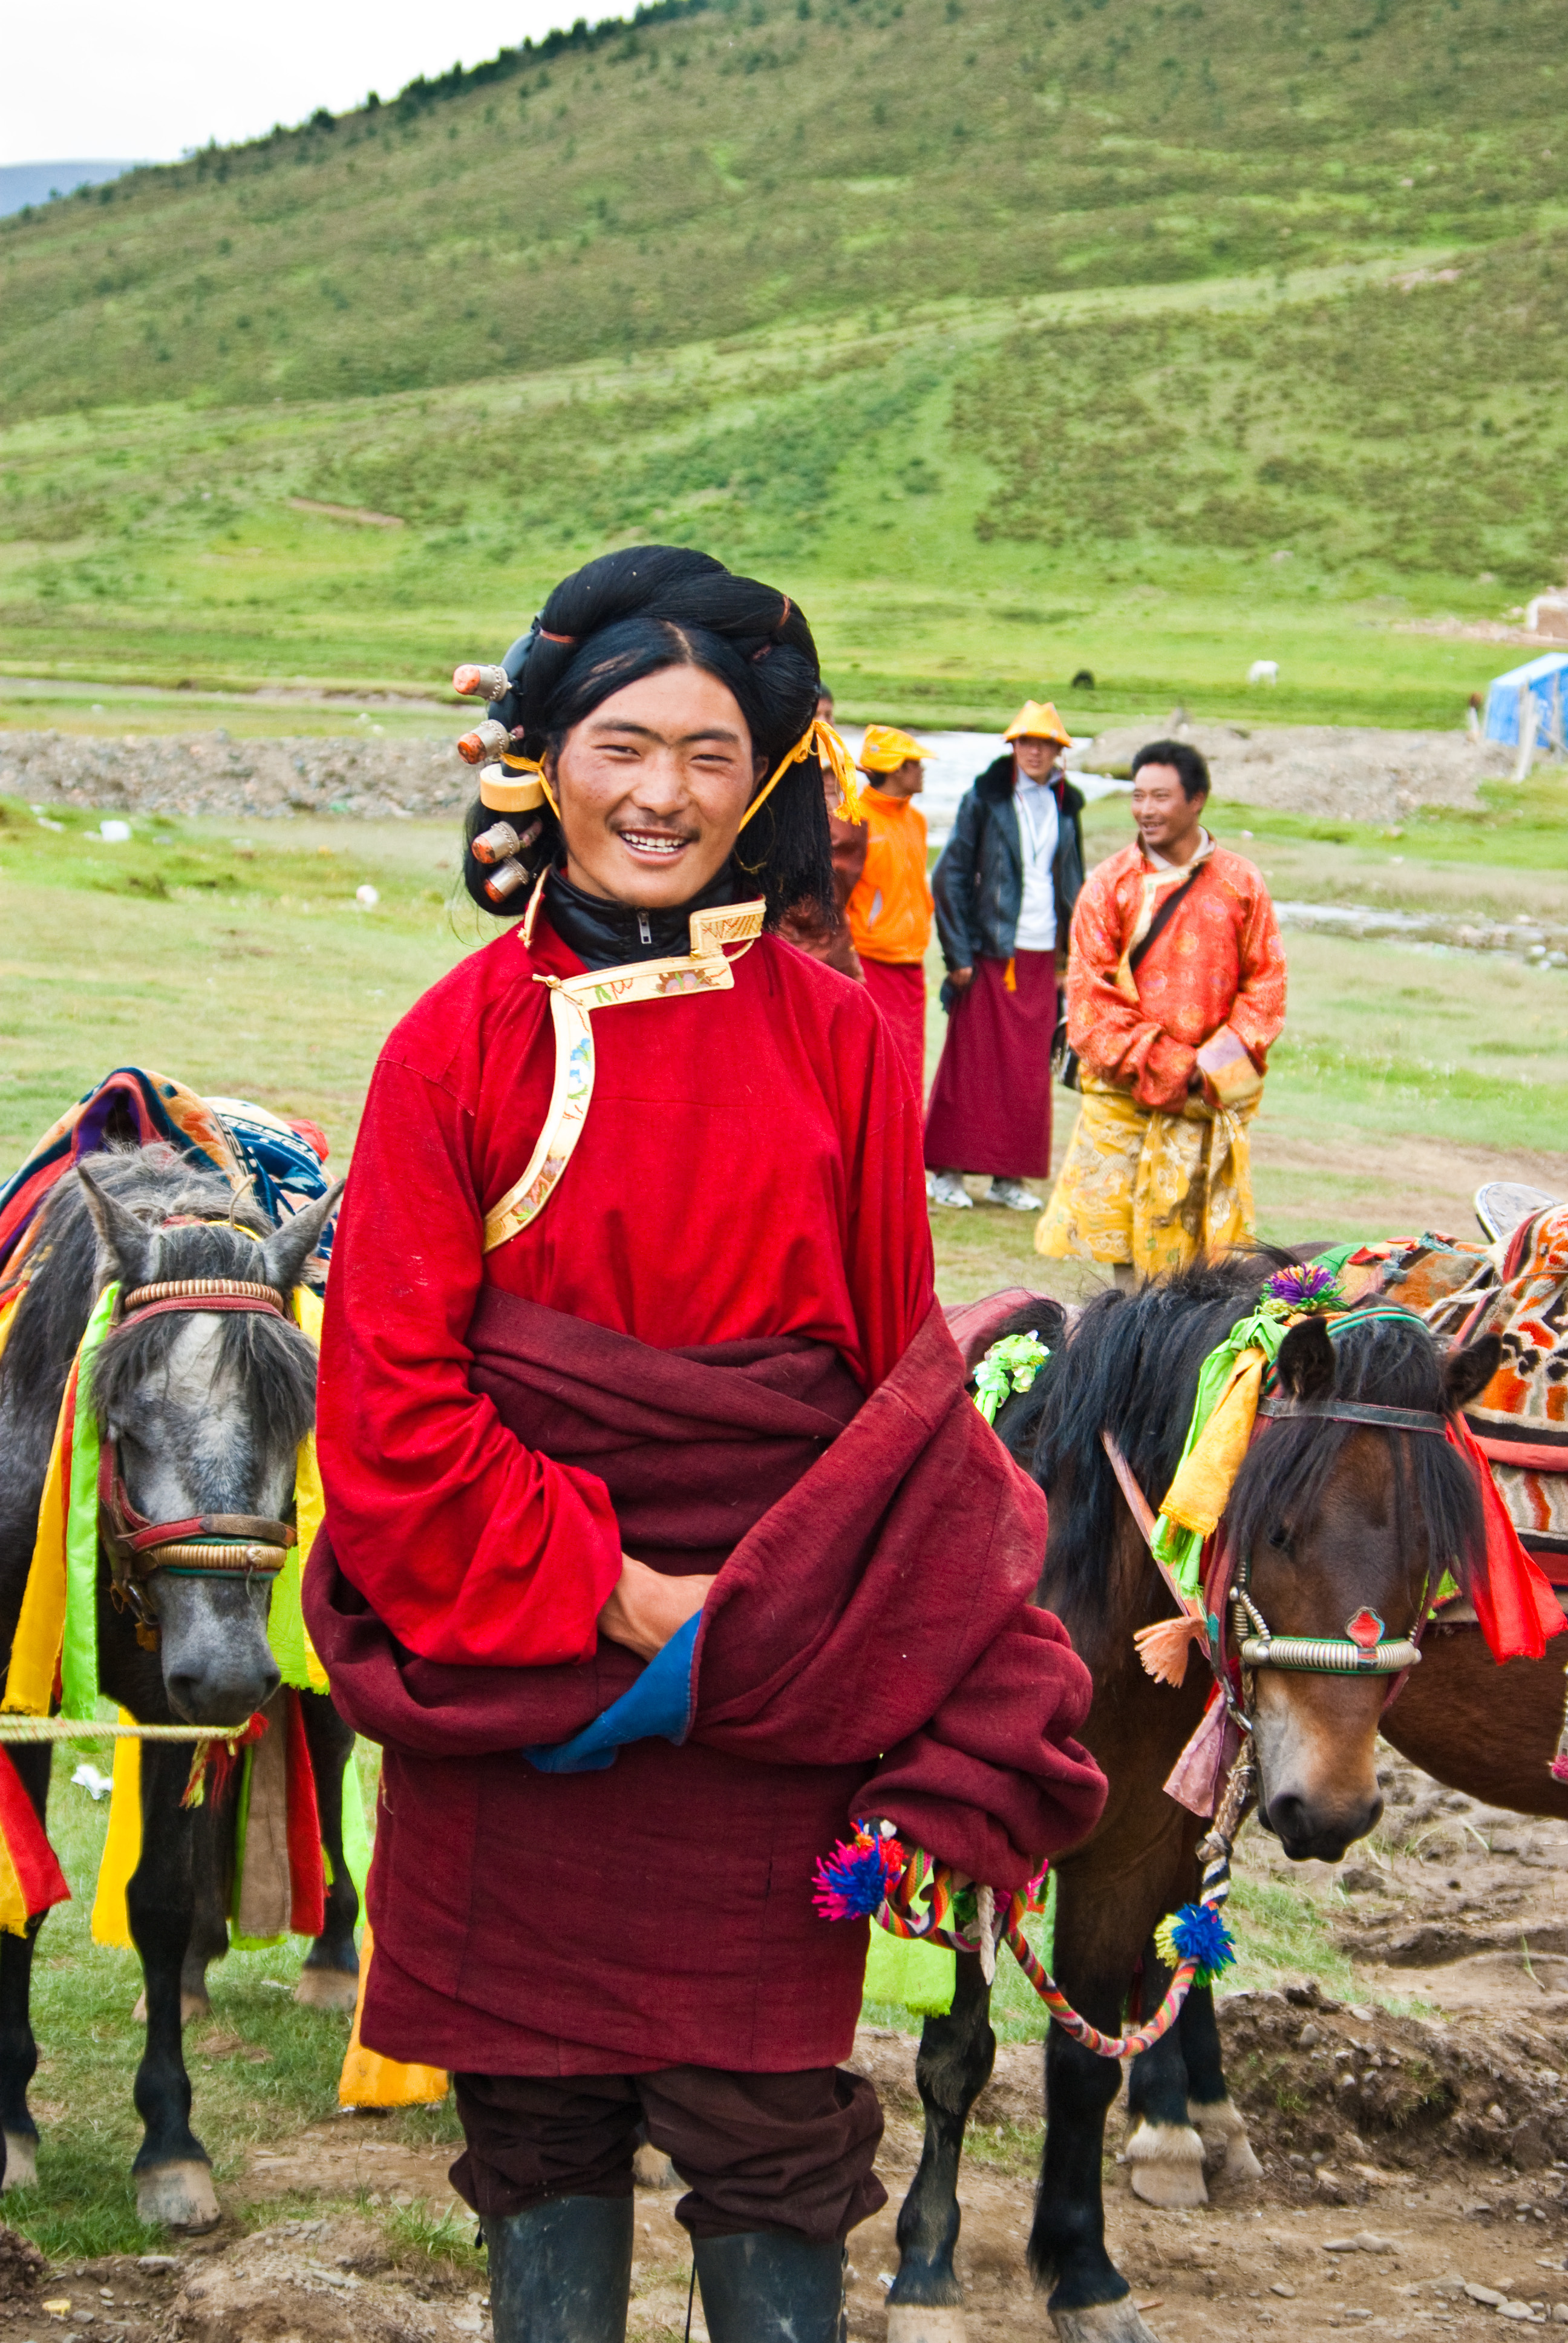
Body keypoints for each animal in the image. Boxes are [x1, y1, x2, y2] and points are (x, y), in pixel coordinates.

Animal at [0, 1143, 344, 2221]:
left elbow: (152, 1899)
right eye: (124, 1418)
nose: (231, 1674)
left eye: (294, 1424)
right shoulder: (22, 1709)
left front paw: (170, 2145)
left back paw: (328, 1958)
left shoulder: (174, 1706)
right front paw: (11, 2129)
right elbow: (23, 1902)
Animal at [881, 1265, 1500, 2343]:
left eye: (1432, 1557)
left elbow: (1084, 2066)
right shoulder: (976, 1843)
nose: (1330, 1809)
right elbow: (957, 2055)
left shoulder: (1129, 1855)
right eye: (1279, 1532)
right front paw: (925, 2272)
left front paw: (1085, 2275)